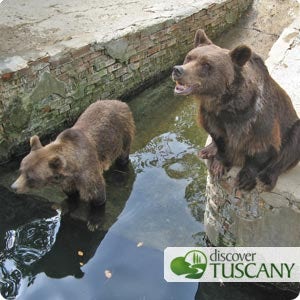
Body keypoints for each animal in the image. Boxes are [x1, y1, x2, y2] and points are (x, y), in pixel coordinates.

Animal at [172, 29, 298, 191]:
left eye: (206, 64)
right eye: (189, 57)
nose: (177, 70)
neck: (225, 104)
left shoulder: (258, 119)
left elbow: (262, 148)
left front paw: (245, 178)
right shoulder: (210, 115)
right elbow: (219, 138)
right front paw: (218, 165)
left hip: (292, 126)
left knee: (291, 145)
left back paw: (268, 177)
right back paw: (207, 150)